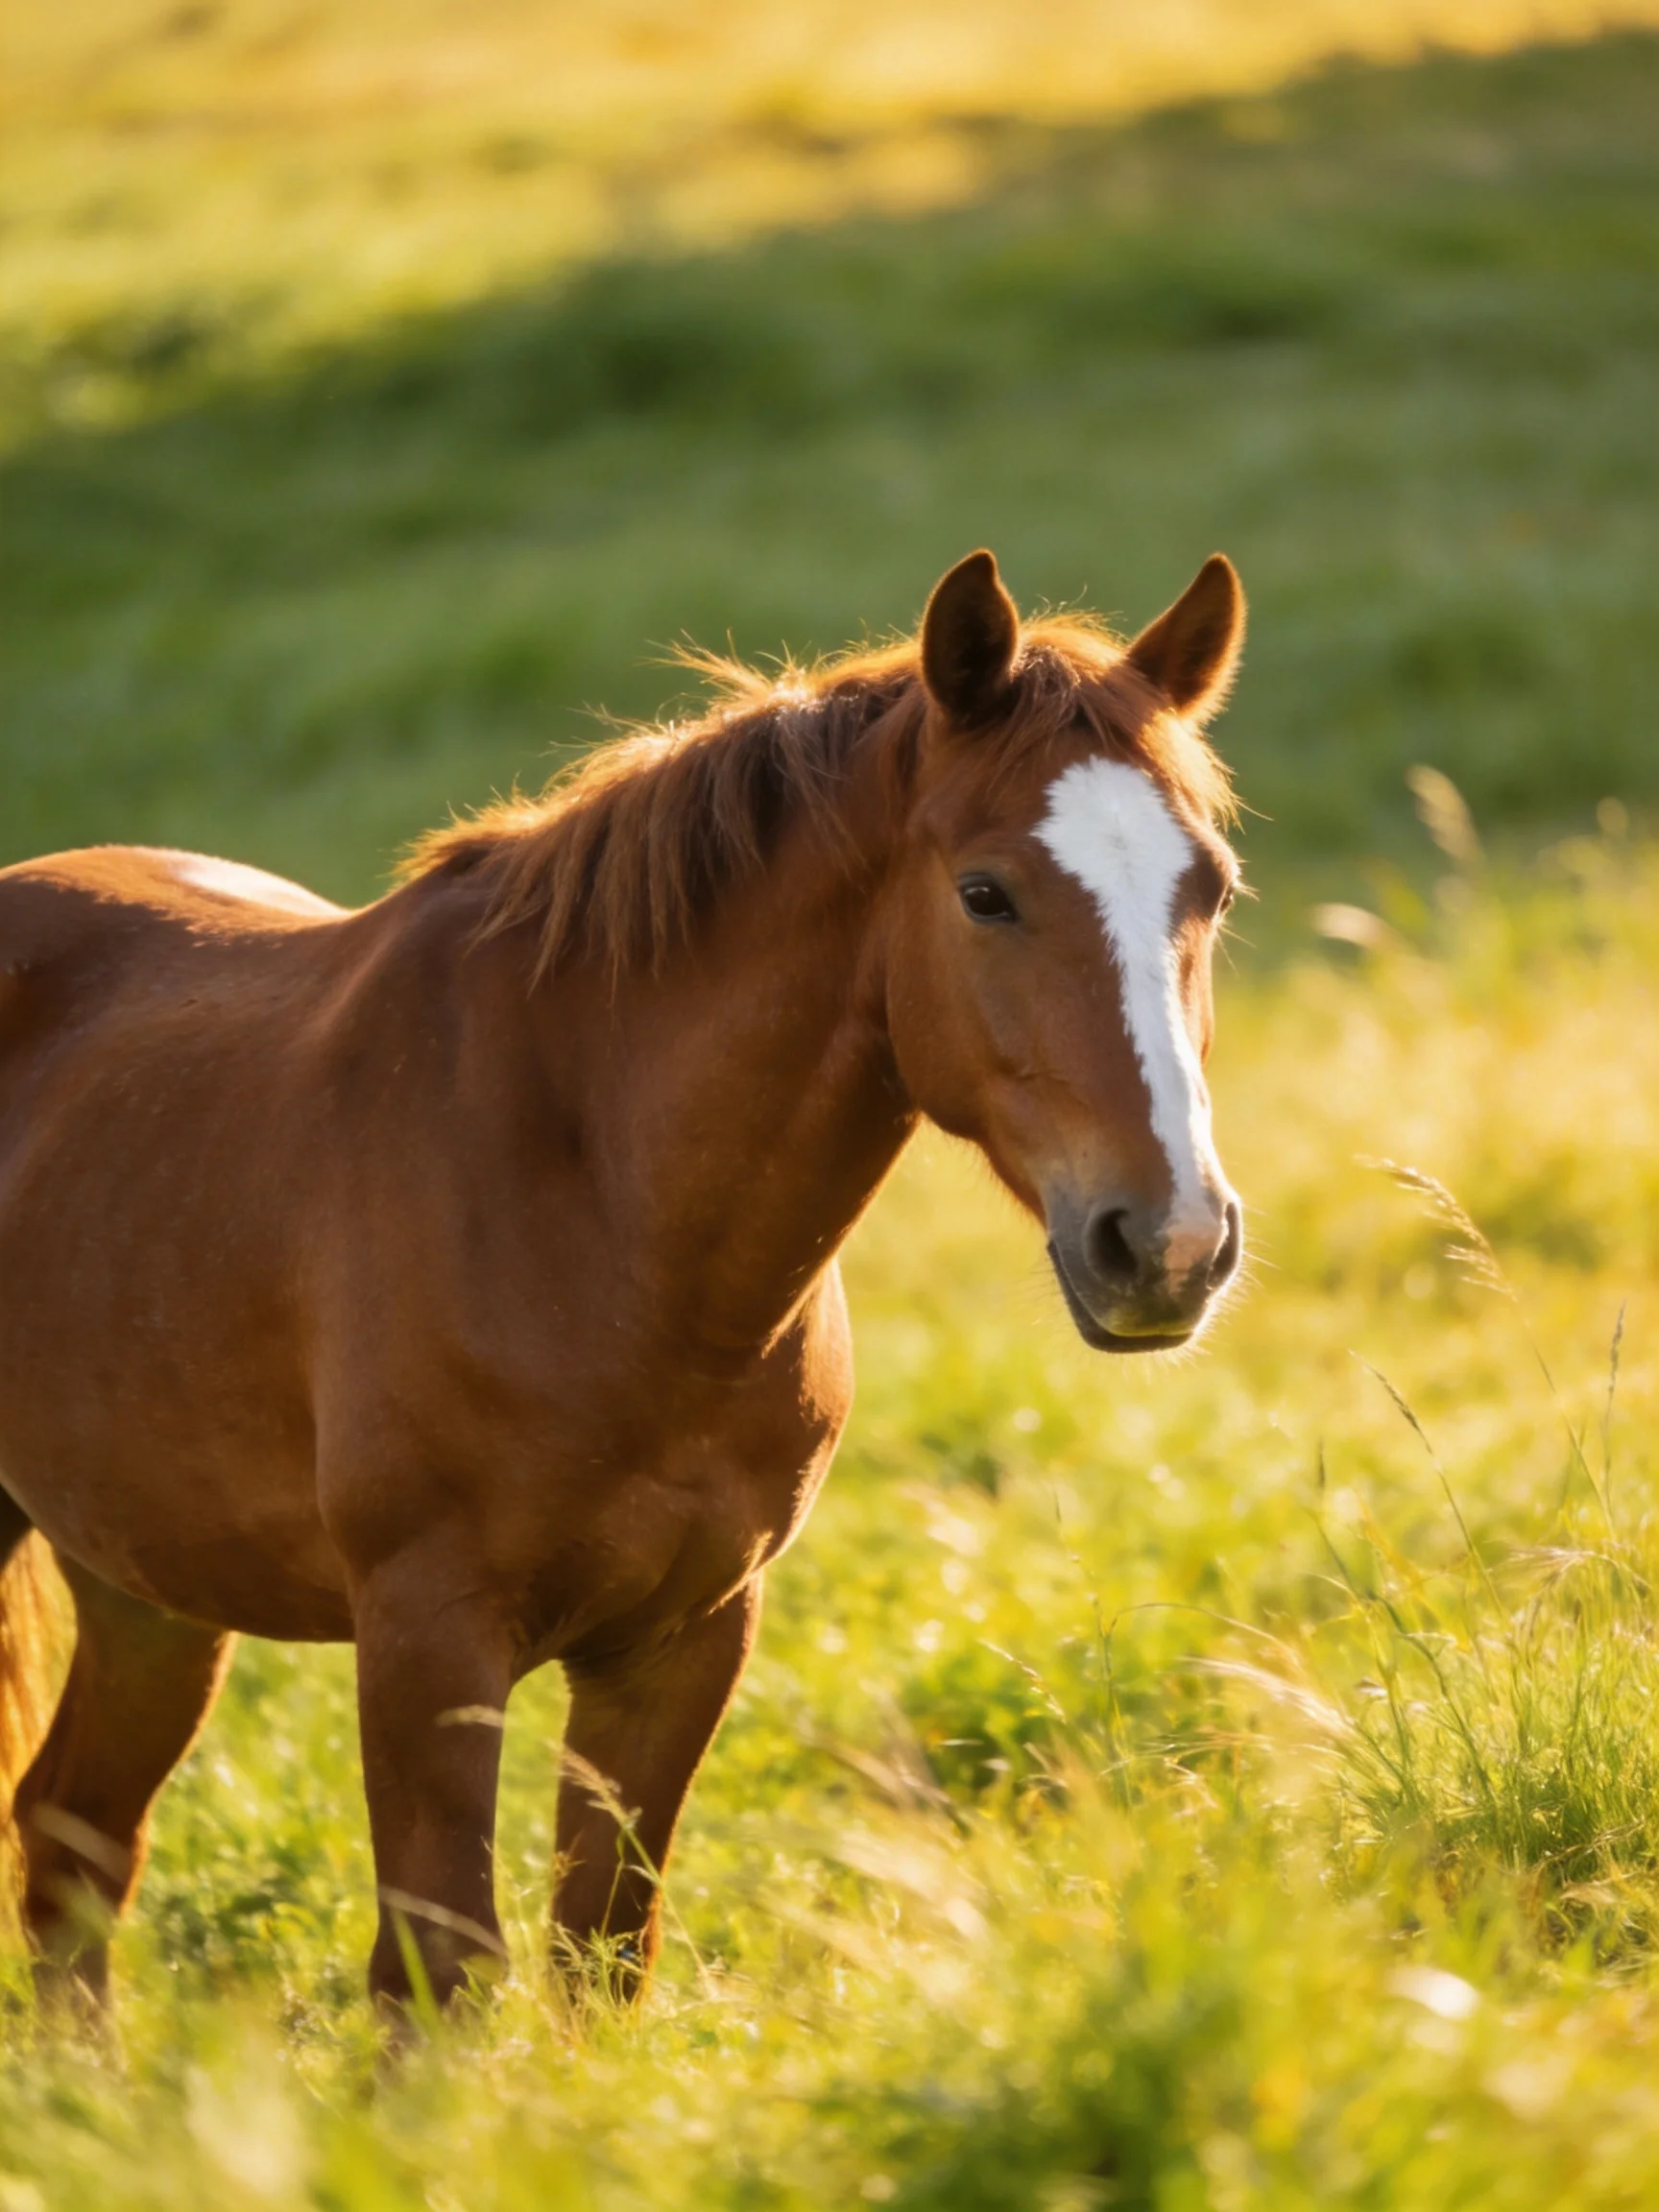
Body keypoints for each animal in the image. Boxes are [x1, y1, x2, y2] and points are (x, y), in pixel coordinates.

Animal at [0, 548, 1246, 2012]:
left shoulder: (684, 1639)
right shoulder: (428, 1639)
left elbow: (601, 1950)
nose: (1169, 1244)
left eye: (1211, 888)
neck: (607, 1222)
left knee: (75, 1839)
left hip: (142, 1587)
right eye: (986, 892)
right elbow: (439, 1969)